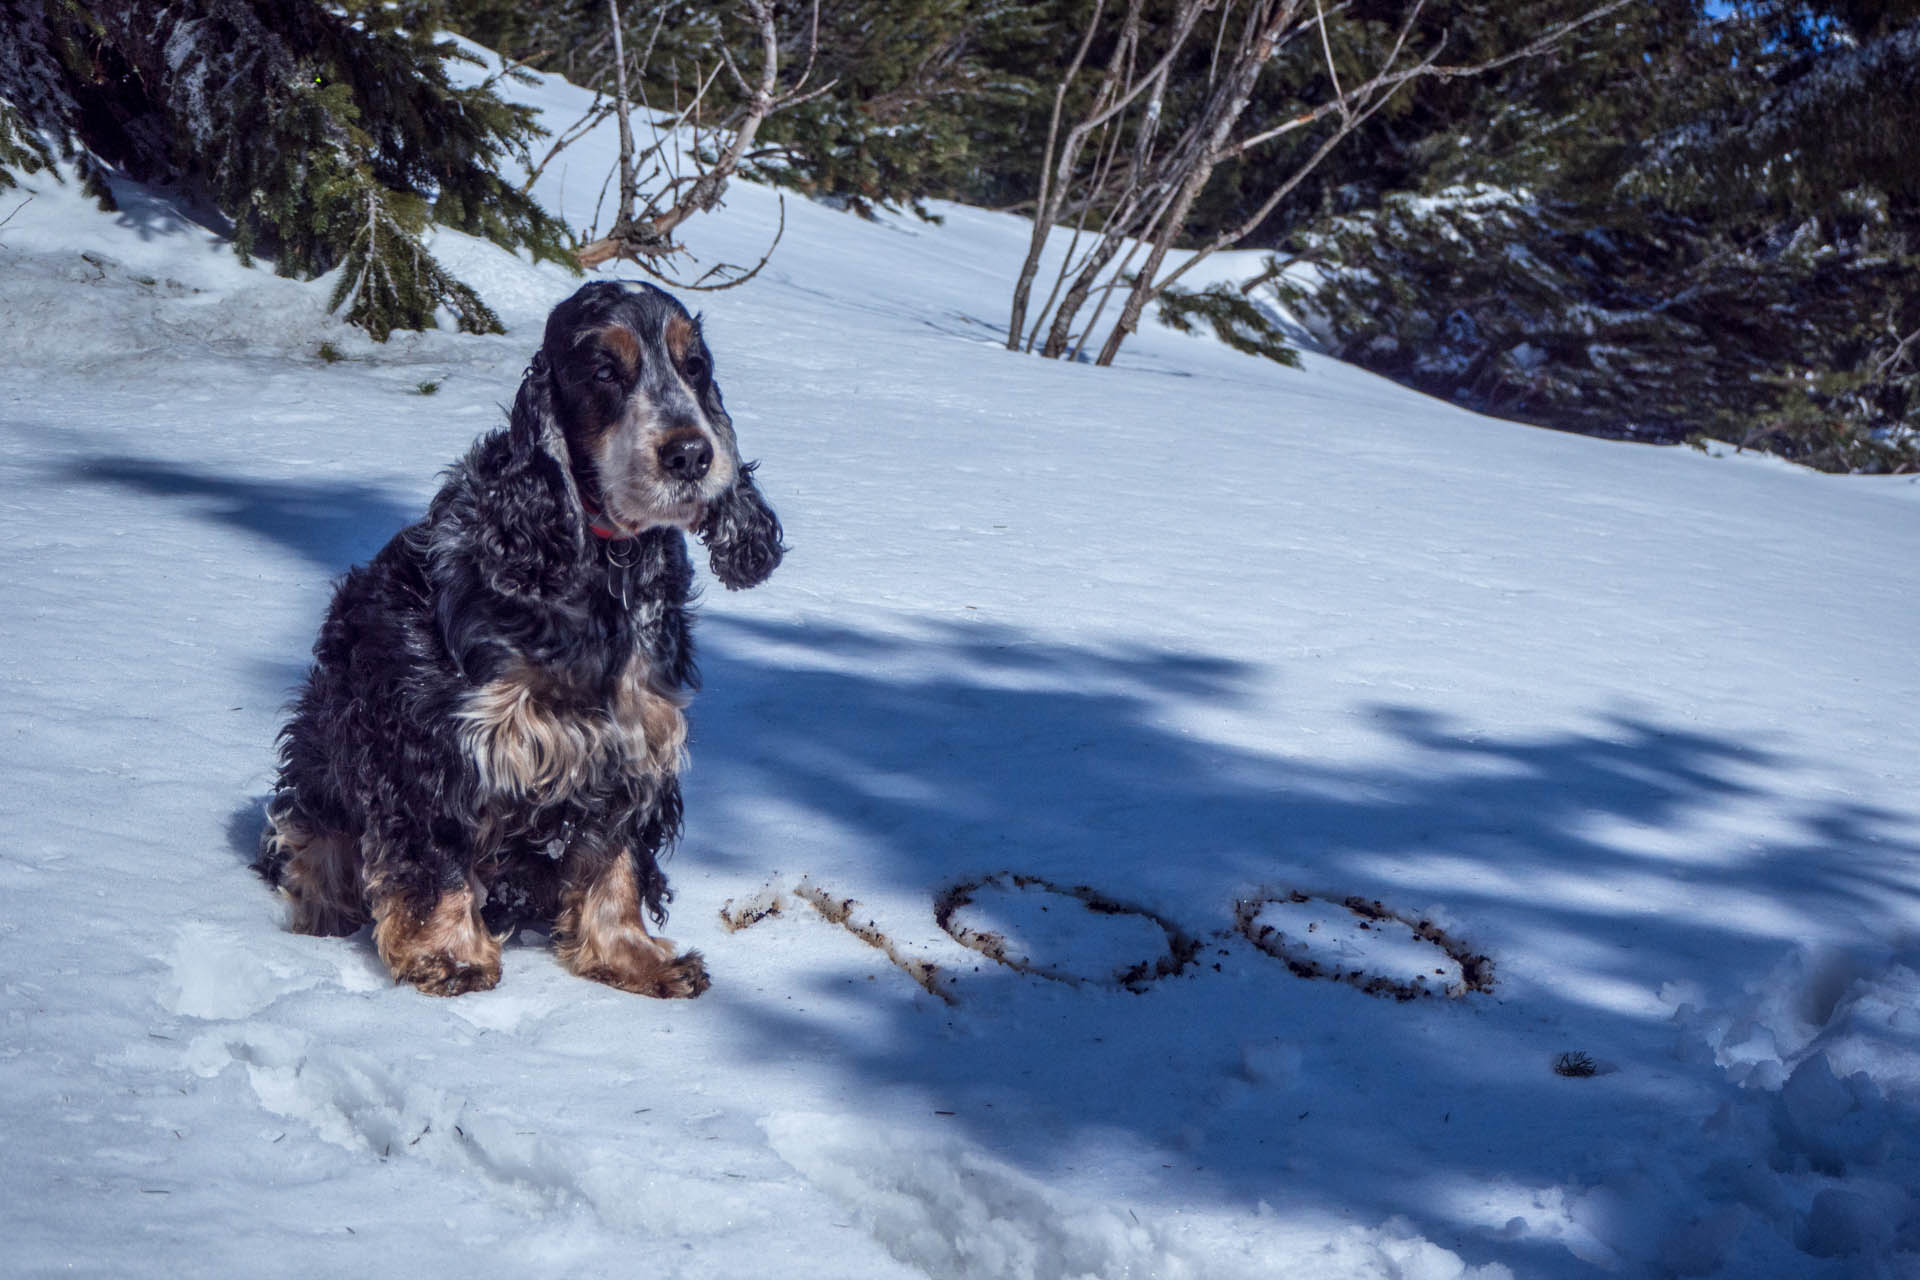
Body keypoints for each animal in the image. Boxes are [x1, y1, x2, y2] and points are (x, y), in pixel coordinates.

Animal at [253, 280, 779, 997]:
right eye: (604, 372)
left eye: (694, 366)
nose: (692, 454)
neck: (602, 571)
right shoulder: (438, 743)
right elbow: (437, 858)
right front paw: (449, 957)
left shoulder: (630, 745)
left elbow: (615, 864)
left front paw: (634, 956)